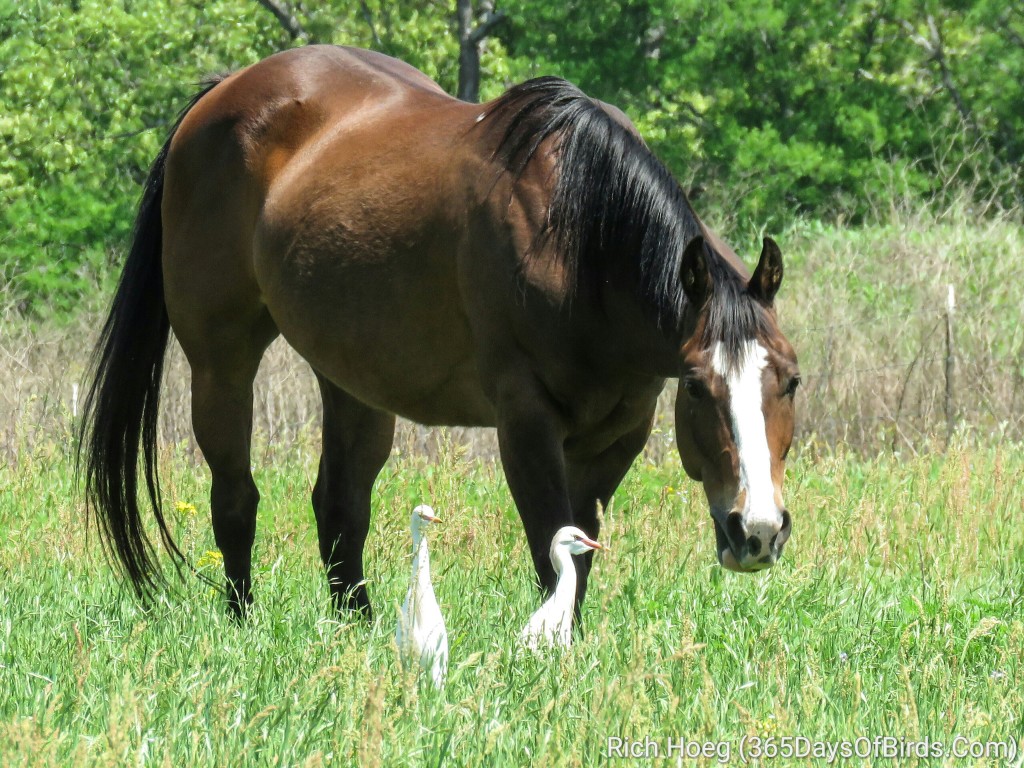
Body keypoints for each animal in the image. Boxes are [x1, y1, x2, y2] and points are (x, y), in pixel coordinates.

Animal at [79, 45, 798, 622]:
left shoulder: (618, 433)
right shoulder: (525, 422)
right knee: (236, 498)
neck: (580, 244)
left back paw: (360, 628)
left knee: (340, 506)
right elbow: (550, 546)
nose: (757, 531)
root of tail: (223, 92)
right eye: (699, 388)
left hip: (353, 378)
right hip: (220, 361)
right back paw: (242, 622)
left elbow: (580, 552)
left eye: (790, 381)